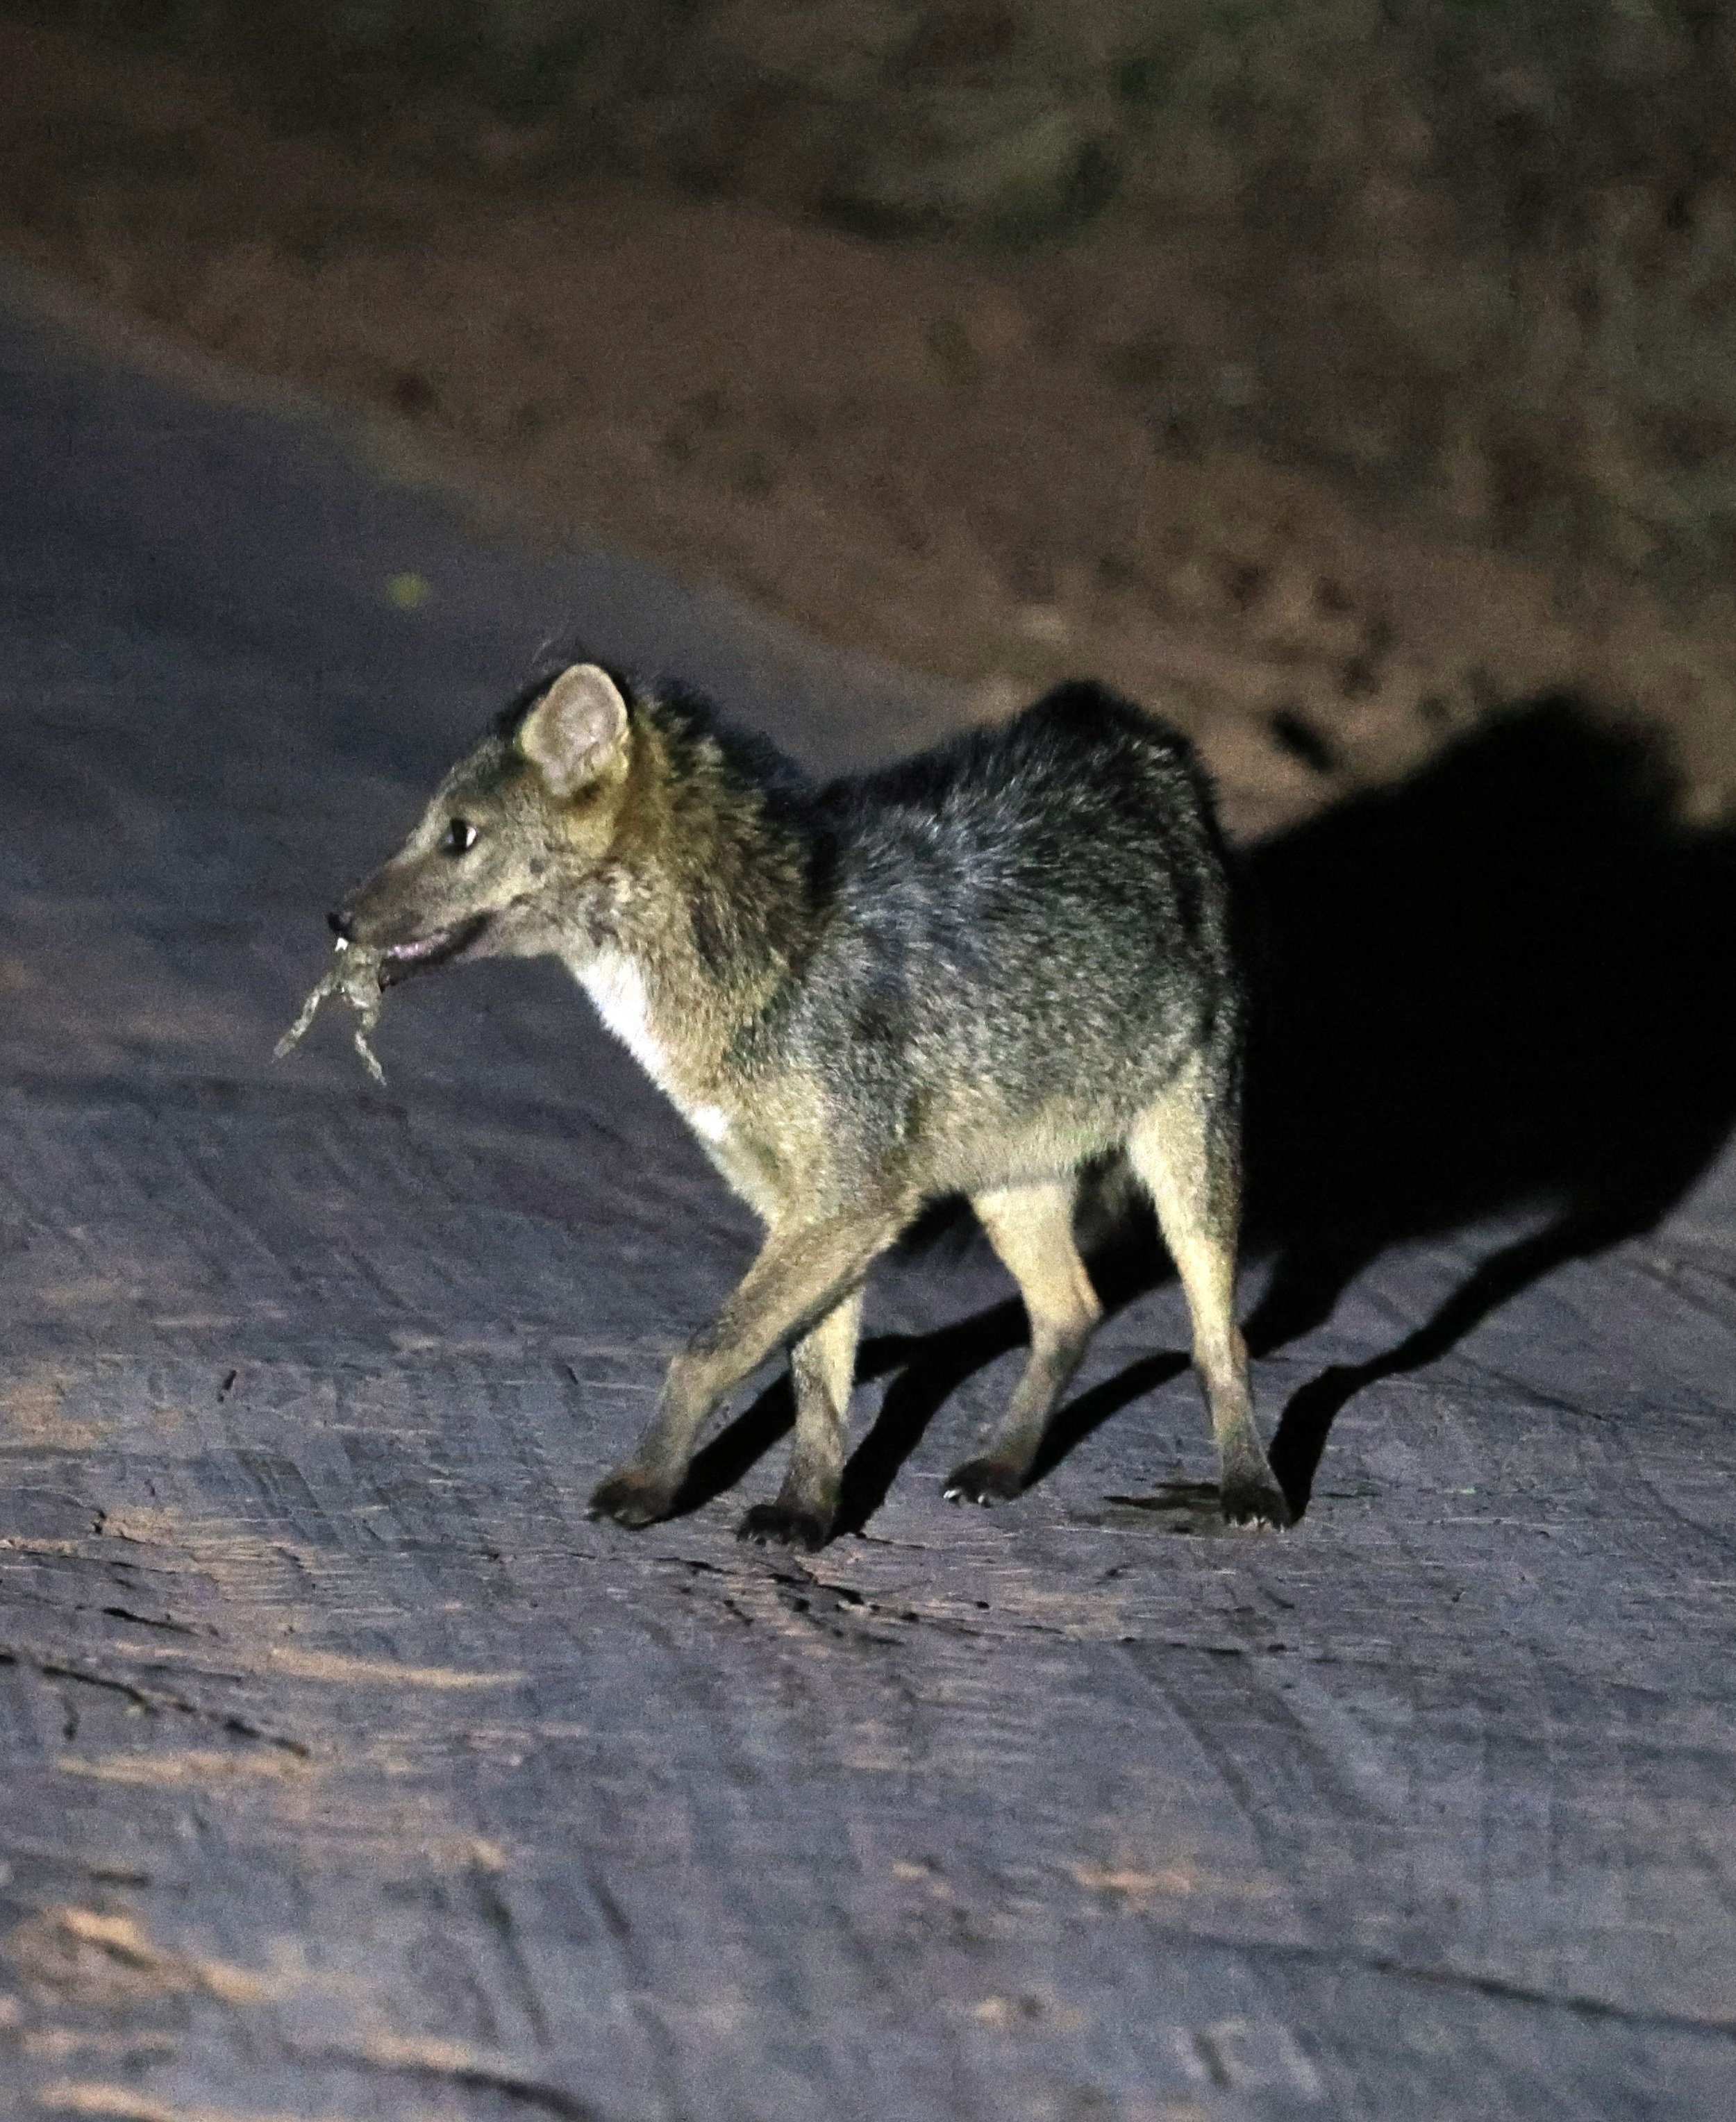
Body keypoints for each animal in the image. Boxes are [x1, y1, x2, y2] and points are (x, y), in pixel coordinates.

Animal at [326, 655, 1292, 1547]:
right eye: (434, 827)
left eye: (458, 835)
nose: (336, 919)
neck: (761, 970)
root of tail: (1141, 738)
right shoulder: (808, 1208)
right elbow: (815, 1377)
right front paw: (805, 1511)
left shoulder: (848, 1202)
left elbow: (707, 1350)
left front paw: (645, 1484)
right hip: (1012, 1185)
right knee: (1071, 1312)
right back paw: (1002, 1464)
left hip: (1187, 1172)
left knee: (1218, 1341)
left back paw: (1252, 1489)